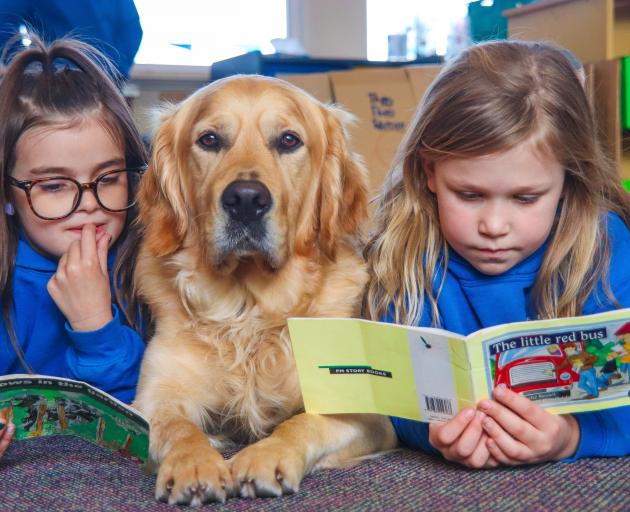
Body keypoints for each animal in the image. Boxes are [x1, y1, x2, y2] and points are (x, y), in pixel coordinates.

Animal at [134, 74, 398, 506]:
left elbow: (303, 422)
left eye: (289, 140)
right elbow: (179, 428)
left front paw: (267, 455)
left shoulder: (366, 411)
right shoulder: (153, 400)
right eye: (209, 139)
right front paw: (195, 462)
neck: (248, 310)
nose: (245, 199)